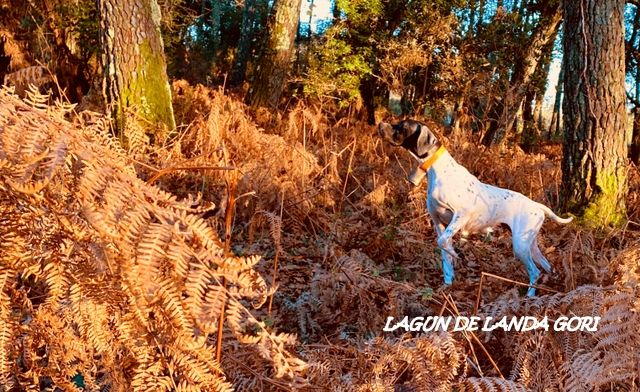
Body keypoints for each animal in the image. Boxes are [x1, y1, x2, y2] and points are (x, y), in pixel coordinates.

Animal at [378, 118, 572, 296]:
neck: (438, 170)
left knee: (535, 271)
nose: (380, 124)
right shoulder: (438, 223)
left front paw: (458, 255)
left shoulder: (460, 216)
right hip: (529, 244)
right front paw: (447, 284)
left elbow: (443, 244)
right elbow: (444, 254)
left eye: (402, 126)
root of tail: (537, 206)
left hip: (520, 245)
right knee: (546, 266)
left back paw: (529, 297)